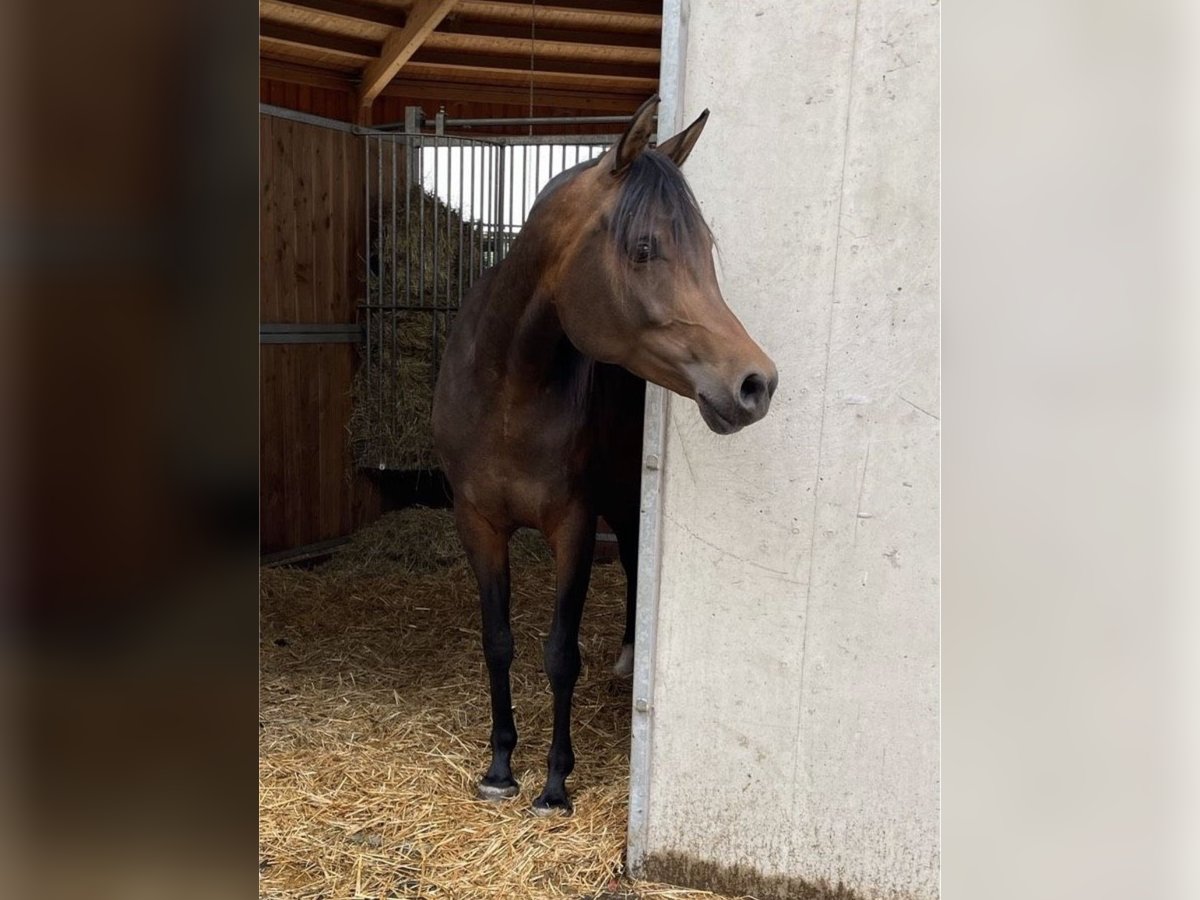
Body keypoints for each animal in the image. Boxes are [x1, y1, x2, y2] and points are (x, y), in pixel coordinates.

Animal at [432, 97, 777, 816]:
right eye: (644, 248)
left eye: (706, 249)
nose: (755, 384)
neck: (508, 392)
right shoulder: (478, 523)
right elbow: (498, 643)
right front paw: (500, 767)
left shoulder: (574, 524)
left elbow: (561, 653)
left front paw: (554, 784)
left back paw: (628, 659)